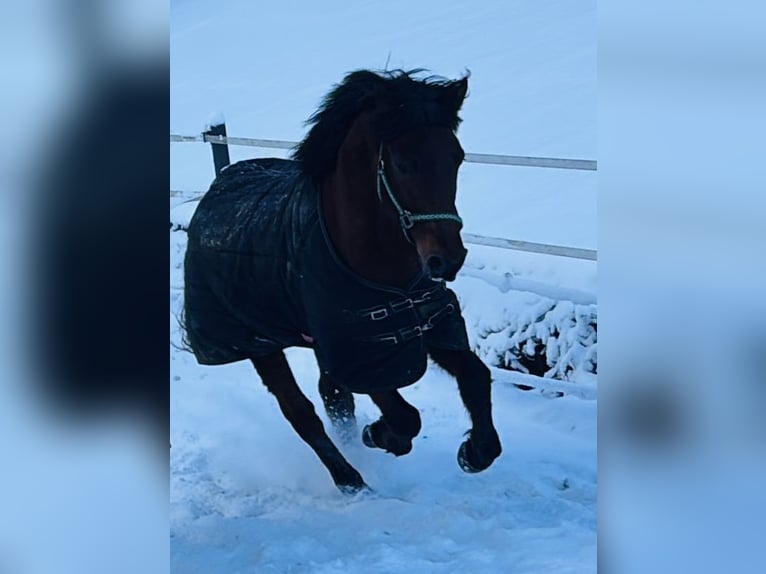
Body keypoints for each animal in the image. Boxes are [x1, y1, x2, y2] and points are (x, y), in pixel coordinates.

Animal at [183, 69, 502, 493]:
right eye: (403, 163)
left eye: (457, 157)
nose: (446, 260)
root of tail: (212, 193)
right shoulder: (360, 352)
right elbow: (404, 416)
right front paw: (380, 435)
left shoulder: (425, 328)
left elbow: (476, 377)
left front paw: (474, 452)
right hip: (258, 345)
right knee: (300, 411)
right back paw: (350, 478)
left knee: (331, 397)